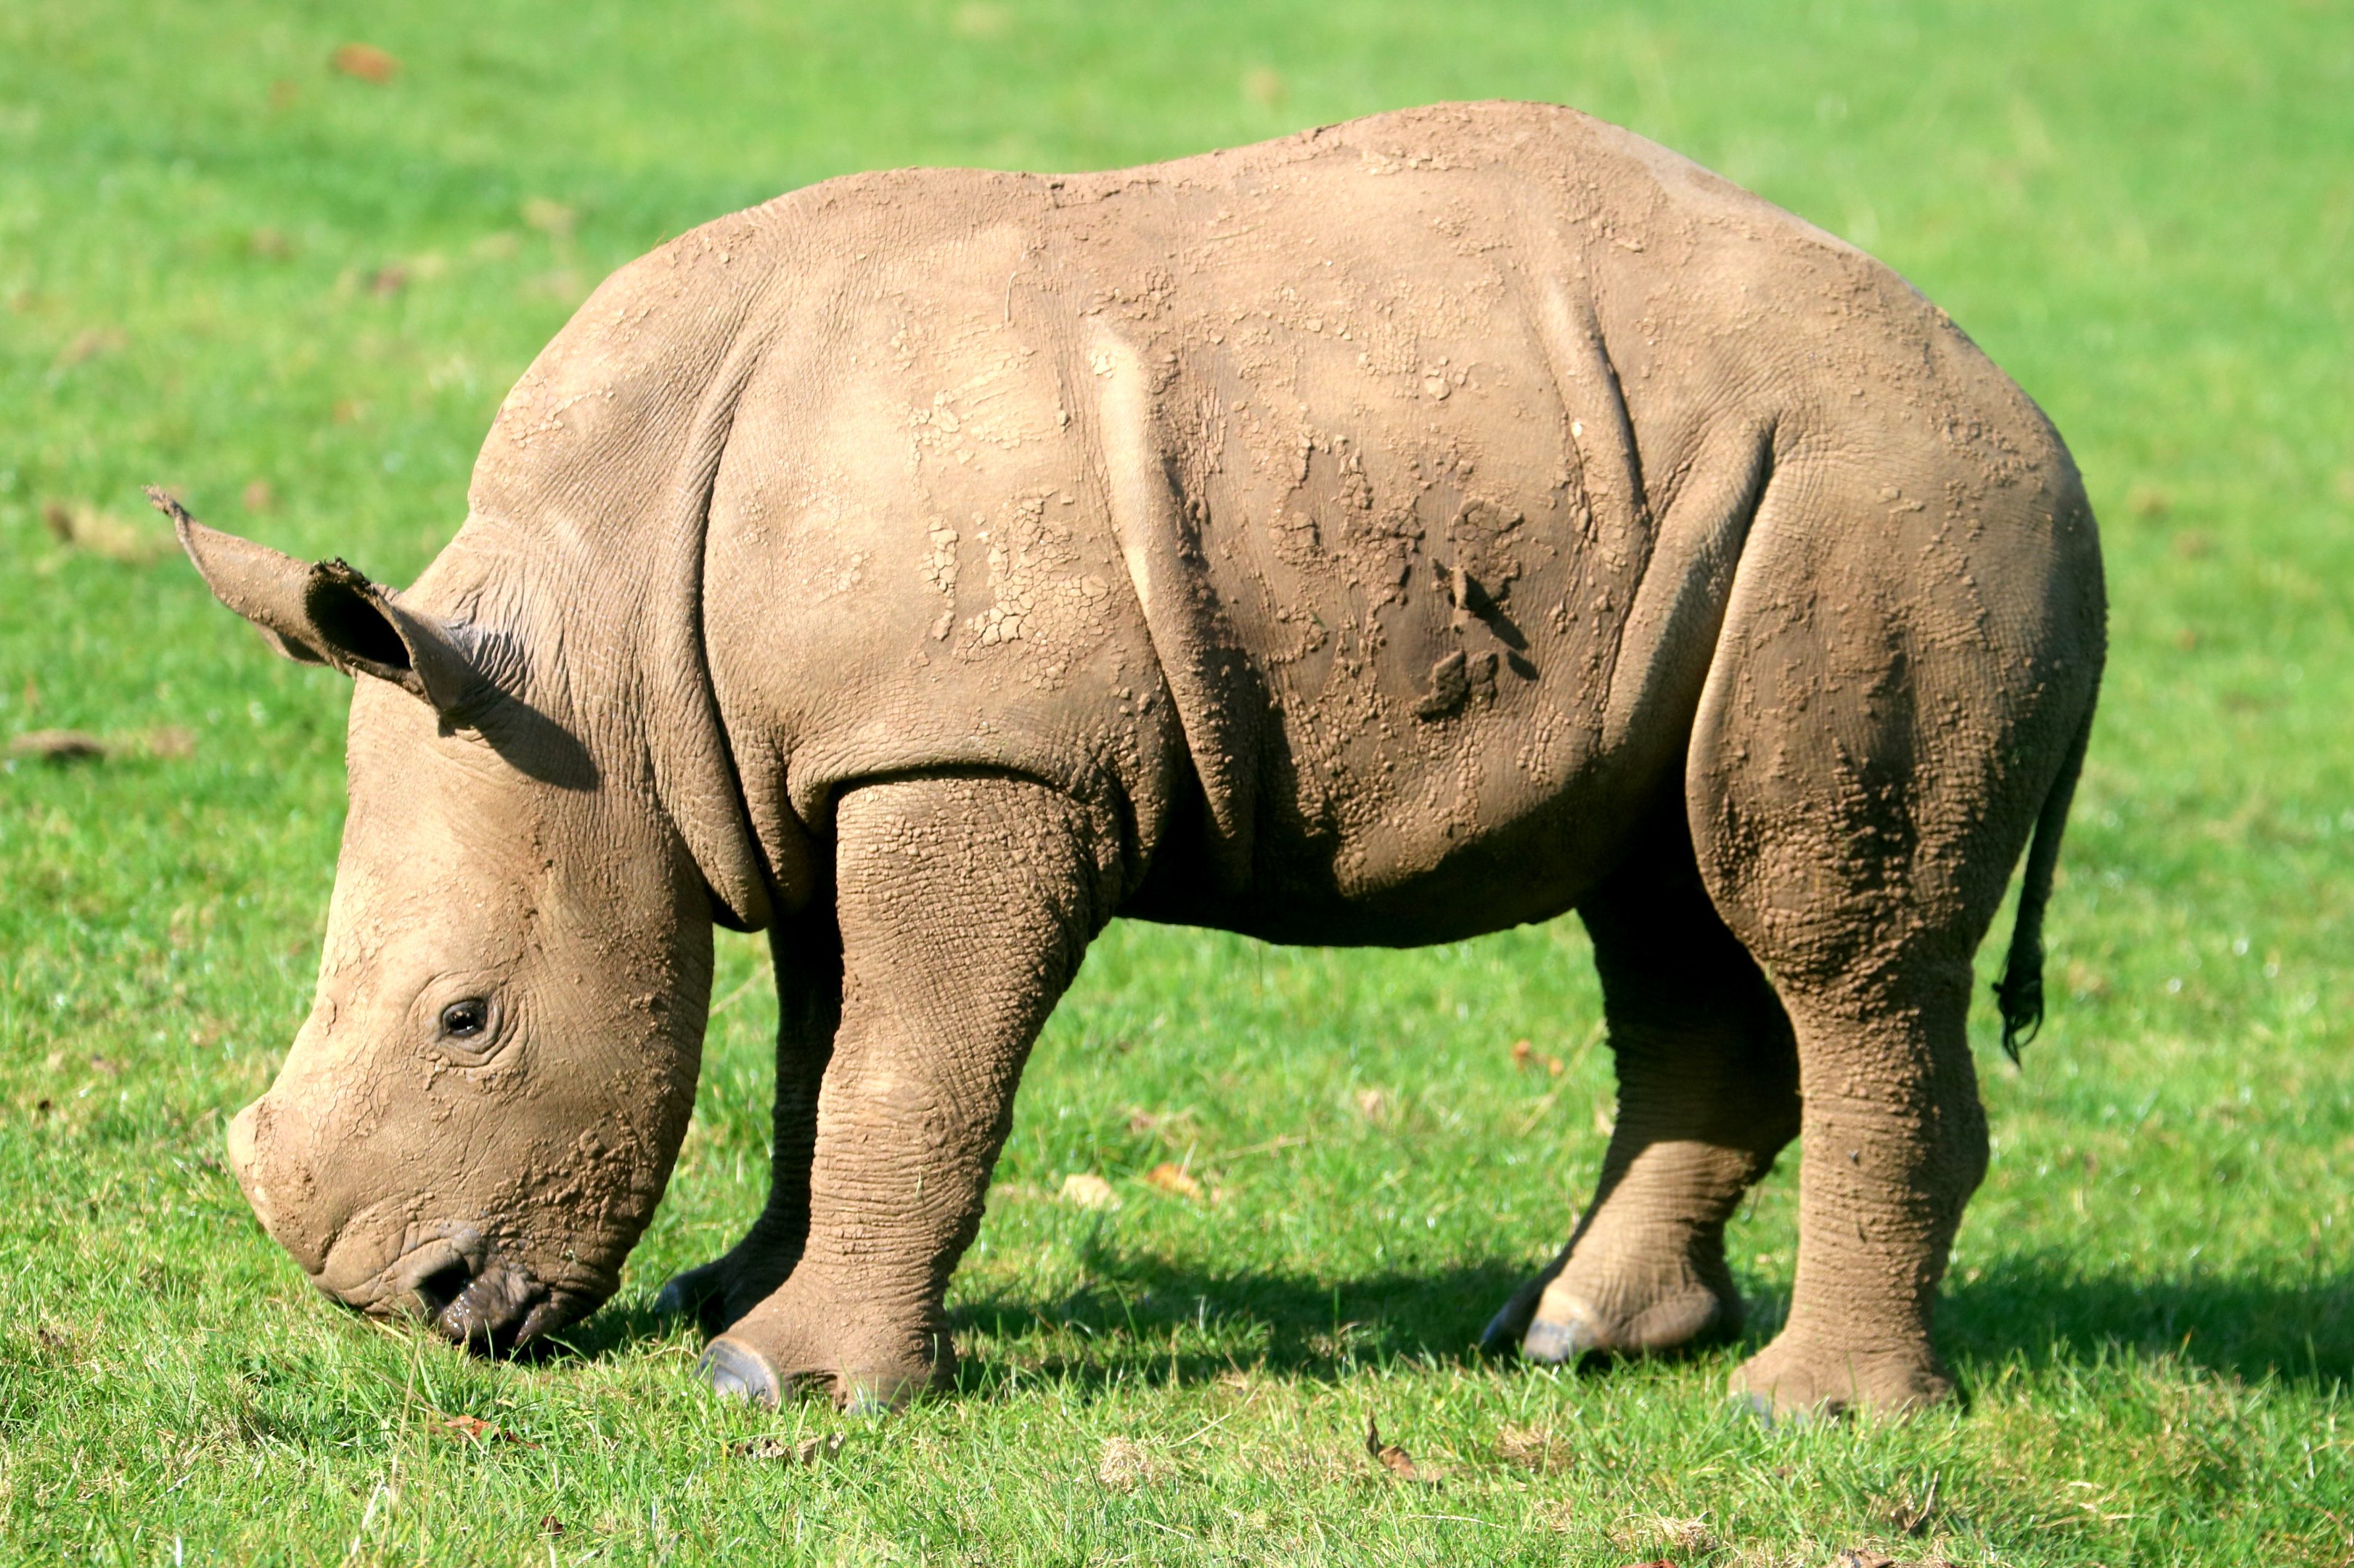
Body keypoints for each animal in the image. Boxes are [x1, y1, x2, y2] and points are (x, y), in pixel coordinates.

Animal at [166, 101, 2103, 1420]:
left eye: (467, 1020)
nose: (407, 1305)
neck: (594, 630)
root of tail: (2041, 423)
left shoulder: (977, 759)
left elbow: (903, 1068)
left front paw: (780, 1383)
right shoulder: (831, 761)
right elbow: (819, 1054)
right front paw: (736, 1296)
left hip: (1883, 510)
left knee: (1831, 941)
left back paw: (1806, 1411)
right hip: (1717, 506)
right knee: (1669, 904)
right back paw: (1564, 1337)